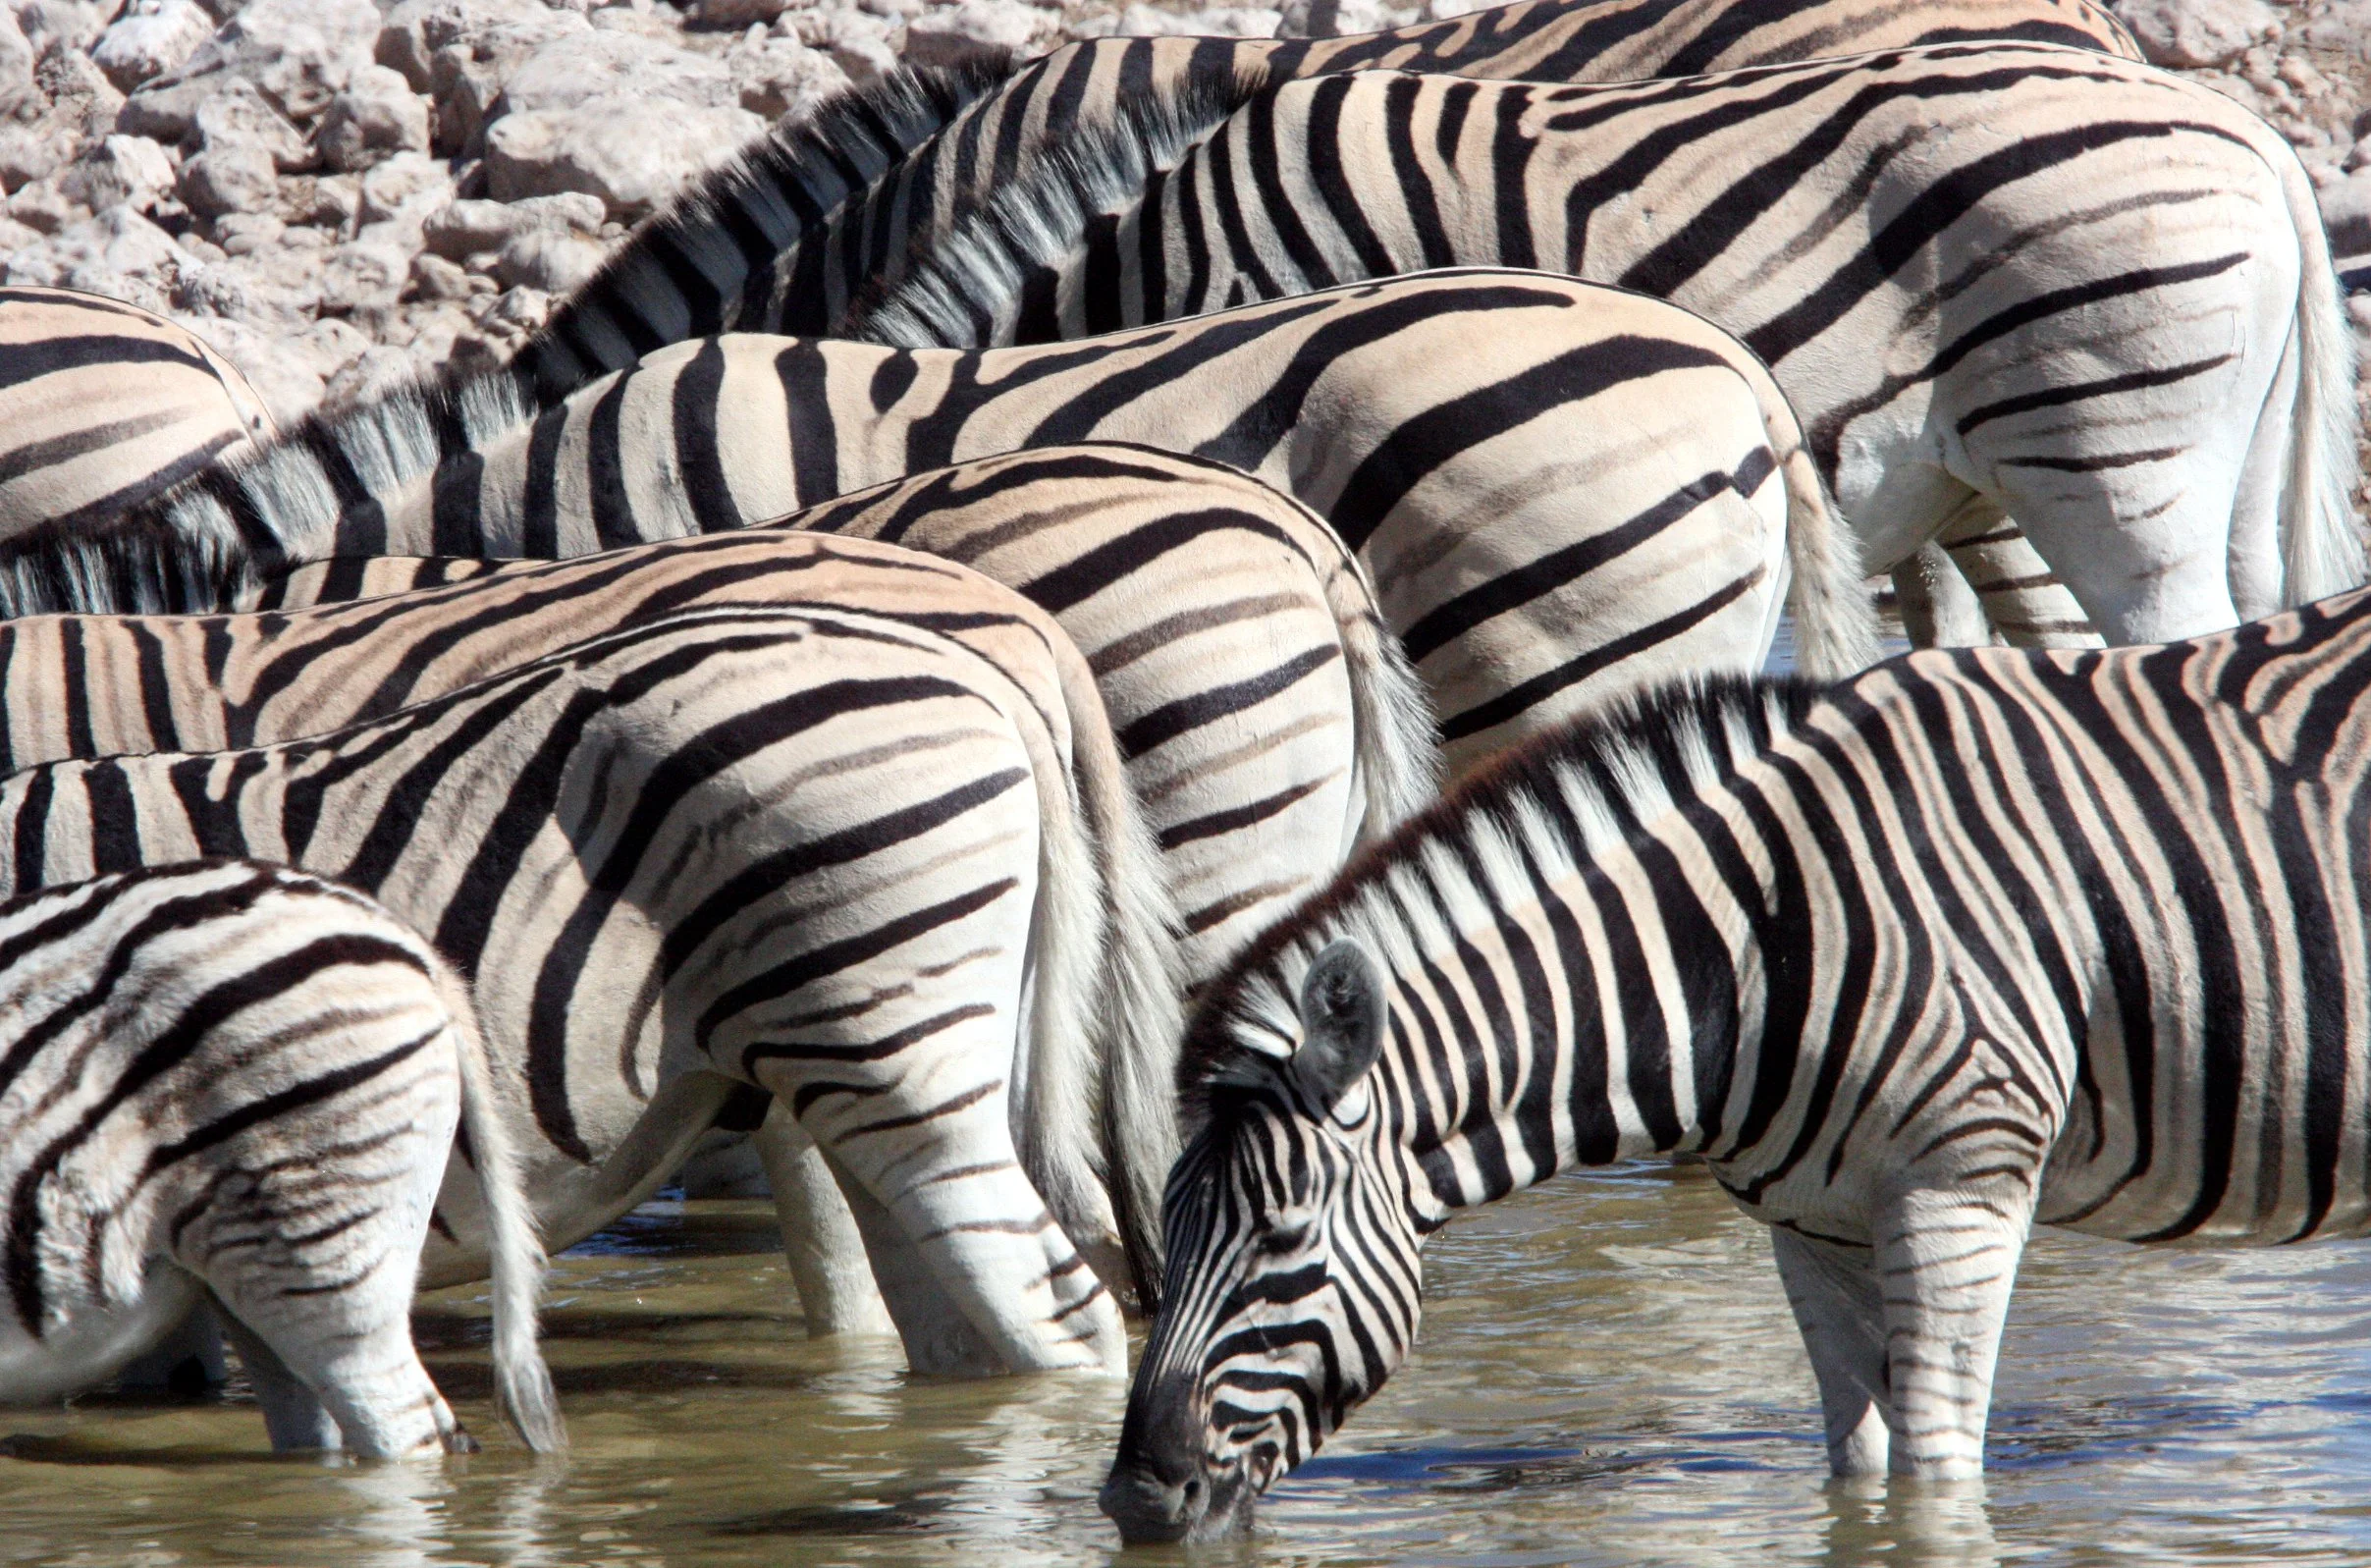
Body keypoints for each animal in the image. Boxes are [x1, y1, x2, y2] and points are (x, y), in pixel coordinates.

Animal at [1097, 581, 2371, 1542]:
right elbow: (1859, 1468)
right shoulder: (1817, 1223)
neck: (1755, 941)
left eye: (1280, 1237)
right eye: (1172, 1232)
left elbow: (1935, 1480)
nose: (1133, 1501)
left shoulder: (1963, 1187)